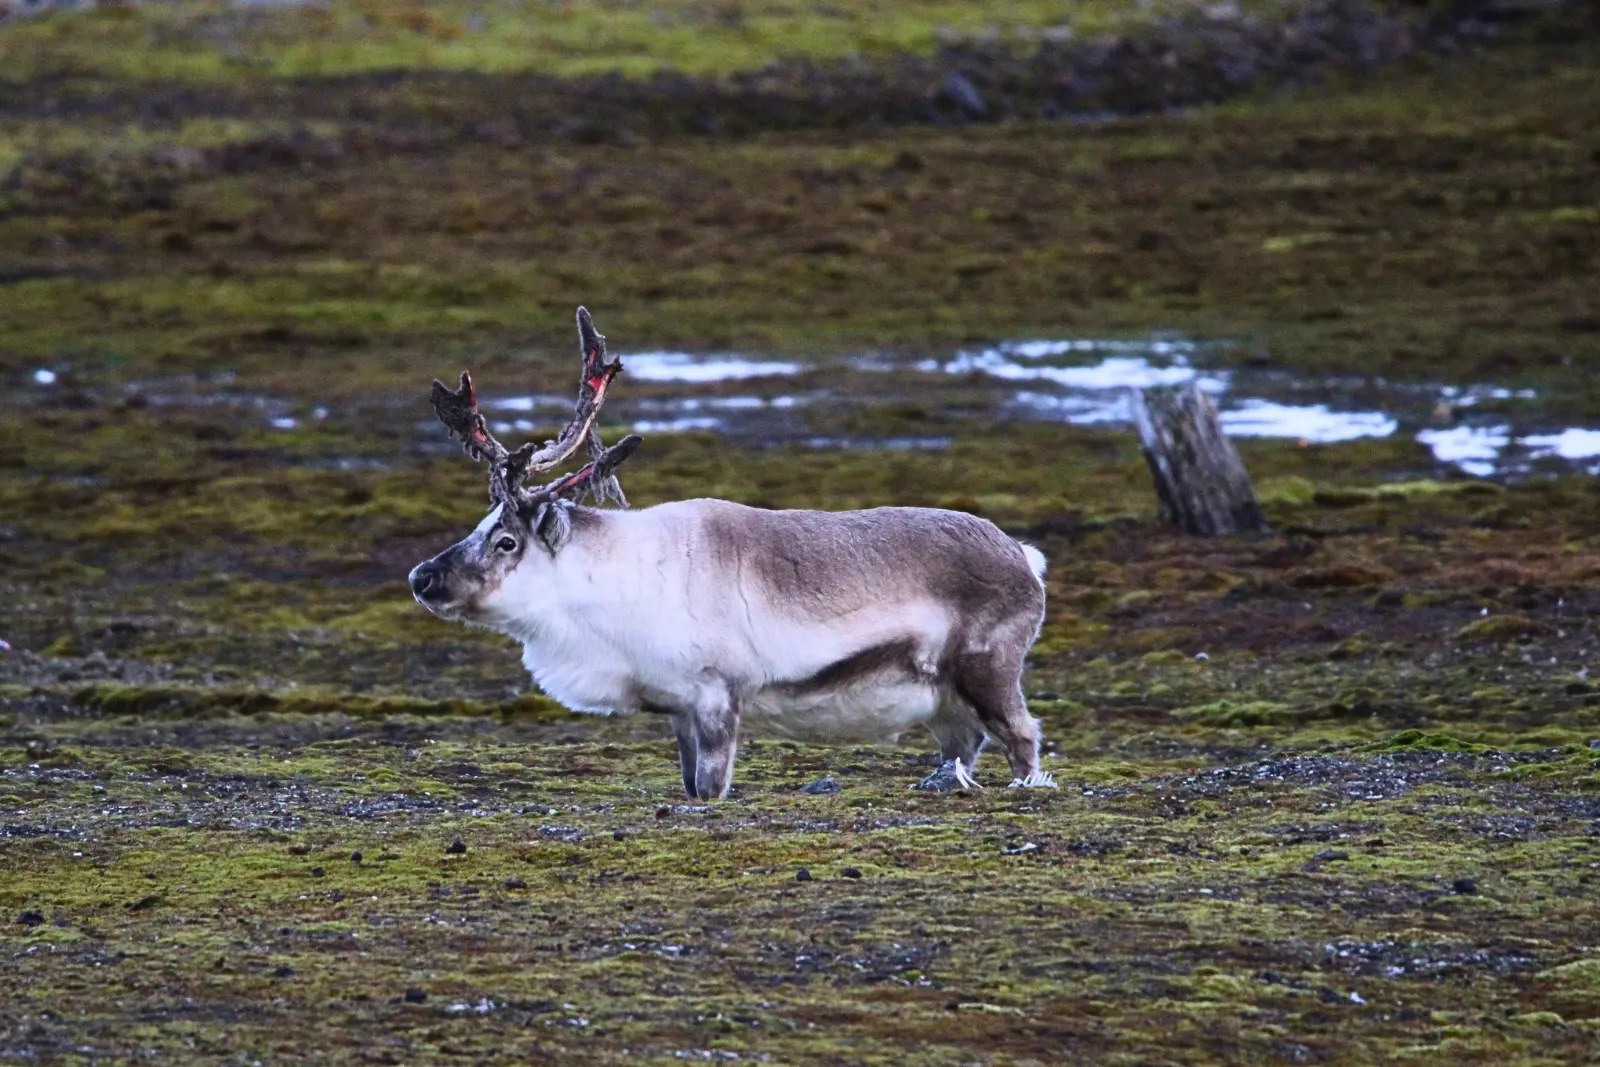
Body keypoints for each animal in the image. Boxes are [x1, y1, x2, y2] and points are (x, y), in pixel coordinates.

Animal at [408, 308, 1057, 800]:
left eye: (506, 540)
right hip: (946, 702)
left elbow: (713, 788)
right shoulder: (678, 710)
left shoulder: (719, 696)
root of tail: (1025, 556)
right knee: (965, 746)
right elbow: (690, 787)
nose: (421, 577)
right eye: (480, 523)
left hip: (989, 668)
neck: (614, 587)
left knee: (1025, 735)